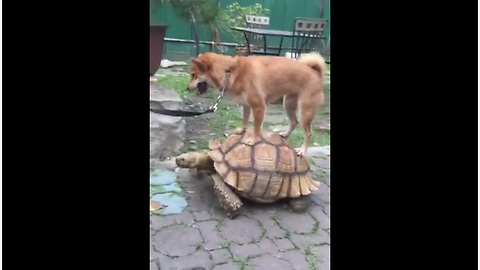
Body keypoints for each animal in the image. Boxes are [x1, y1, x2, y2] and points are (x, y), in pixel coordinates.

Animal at [187, 52, 326, 156]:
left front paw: (253, 140)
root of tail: (315, 73)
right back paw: (285, 134)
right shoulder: (246, 105)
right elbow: (245, 120)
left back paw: (302, 150)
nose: (187, 88)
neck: (229, 71)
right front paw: (241, 131)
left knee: (308, 133)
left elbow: (256, 127)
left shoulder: (258, 107)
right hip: (288, 104)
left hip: (305, 112)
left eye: (194, 75)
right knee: (294, 121)